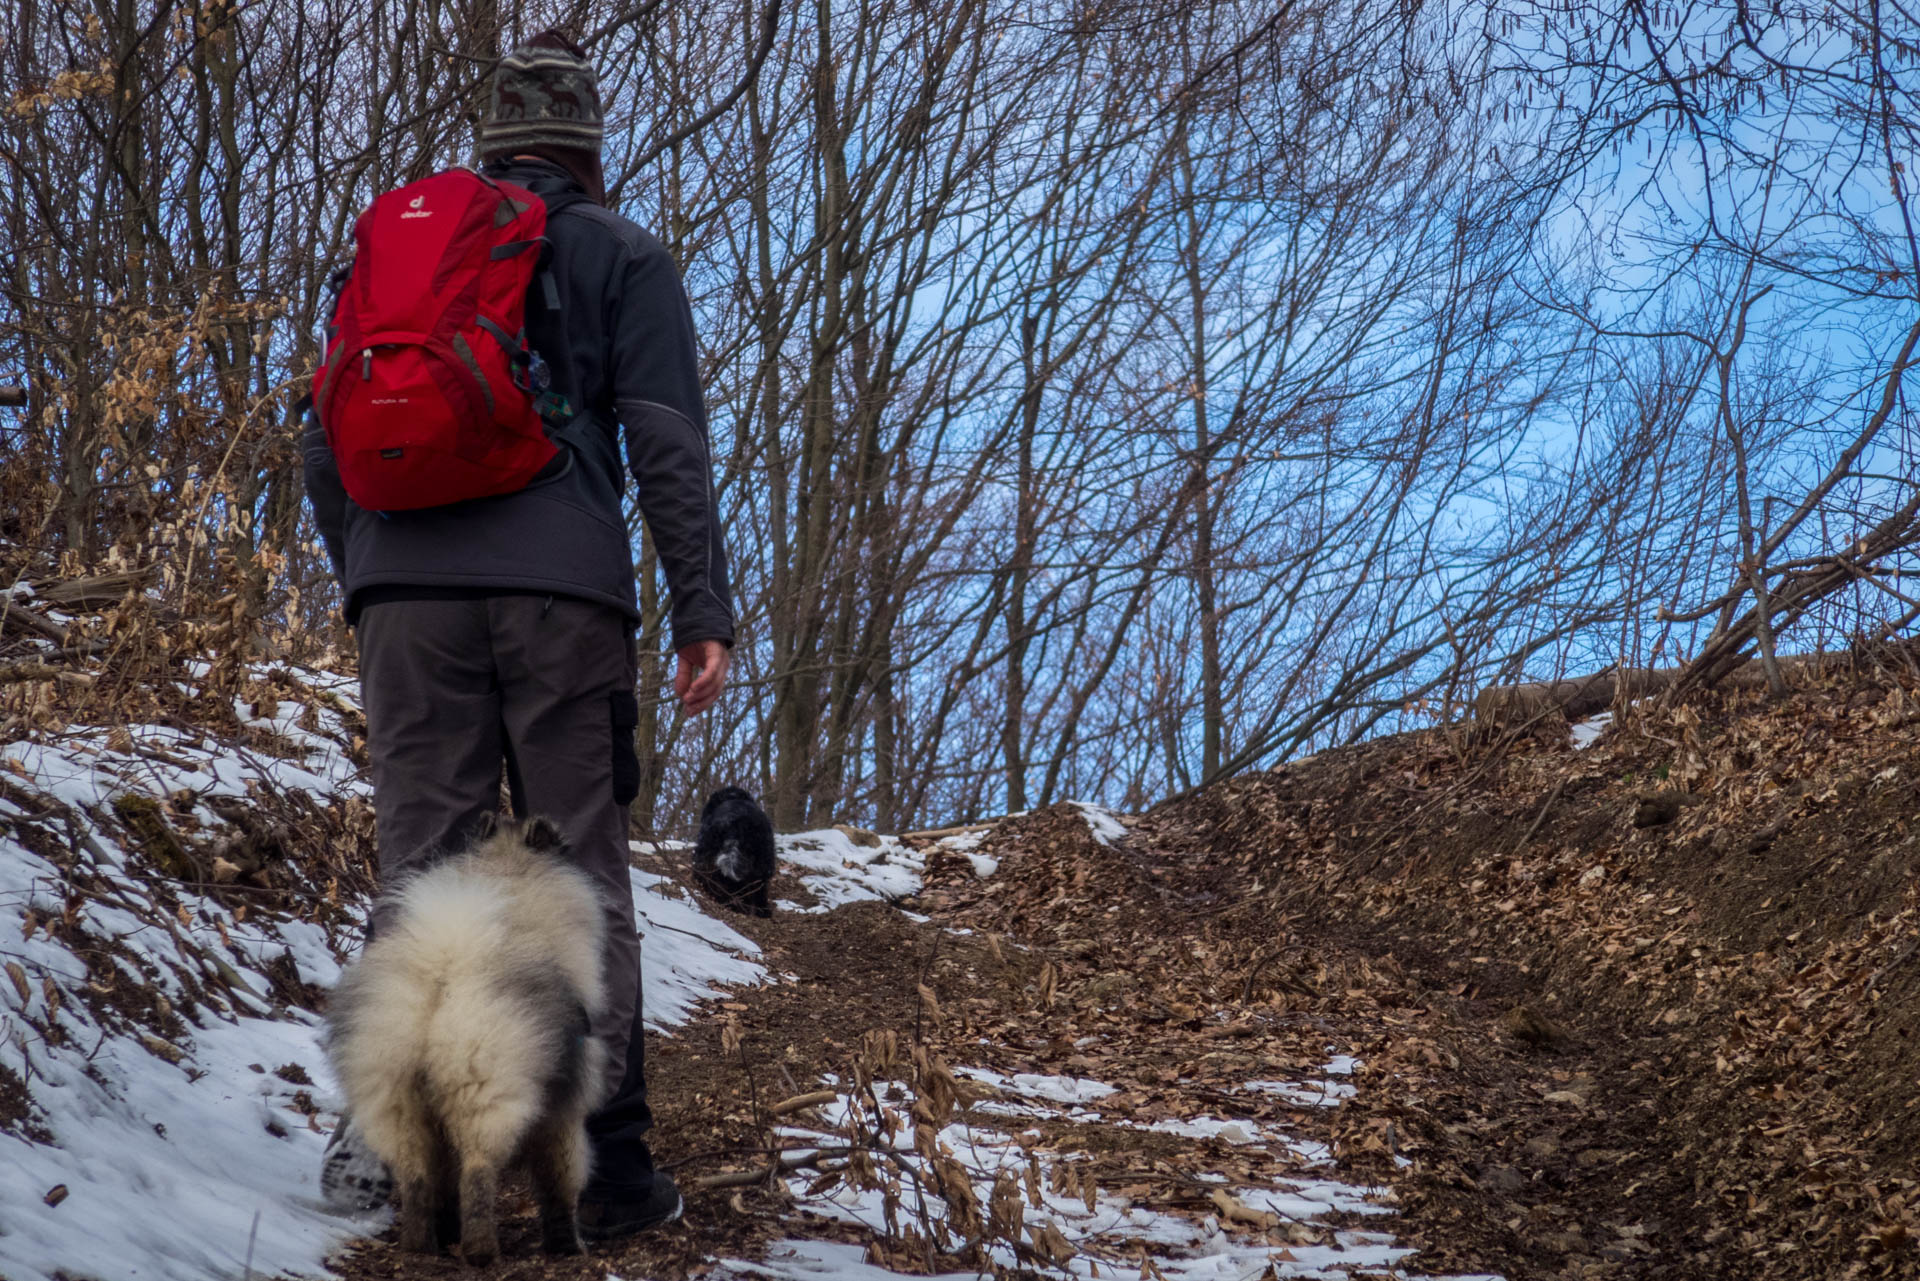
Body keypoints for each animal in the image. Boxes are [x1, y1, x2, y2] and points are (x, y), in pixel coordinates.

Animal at [322, 818, 606, 1259]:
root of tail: (443, 974)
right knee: (477, 1171)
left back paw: (421, 1245)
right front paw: (567, 1244)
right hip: (485, 1095)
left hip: (397, 1101)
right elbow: (560, 1184)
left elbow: (444, 1183)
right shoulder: (564, 1115)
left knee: (418, 1178)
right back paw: (480, 1249)